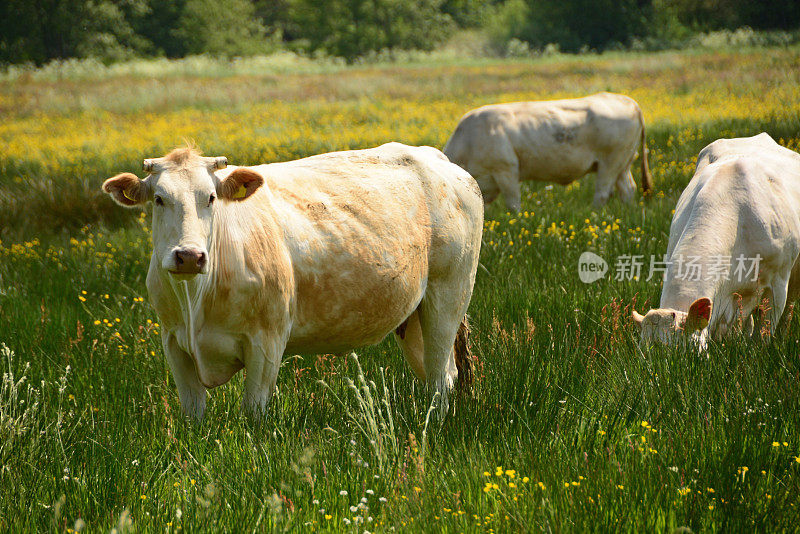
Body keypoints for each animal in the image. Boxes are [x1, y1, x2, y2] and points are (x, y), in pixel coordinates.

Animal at [103, 144, 484, 420]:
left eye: (210, 197)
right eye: (159, 199)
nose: (189, 255)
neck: (196, 298)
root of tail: (435, 157)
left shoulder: (267, 343)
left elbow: (253, 415)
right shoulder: (174, 344)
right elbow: (193, 415)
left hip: (448, 296)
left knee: (440, 379)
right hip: (414, 316)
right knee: (441, 374)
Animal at [440, 92, 652, 211]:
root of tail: (628, 101)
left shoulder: (506, 170)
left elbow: (513, 204)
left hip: (610, 162)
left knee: (602, 193)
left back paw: (594, 213)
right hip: (623, 163)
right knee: (627, 189)